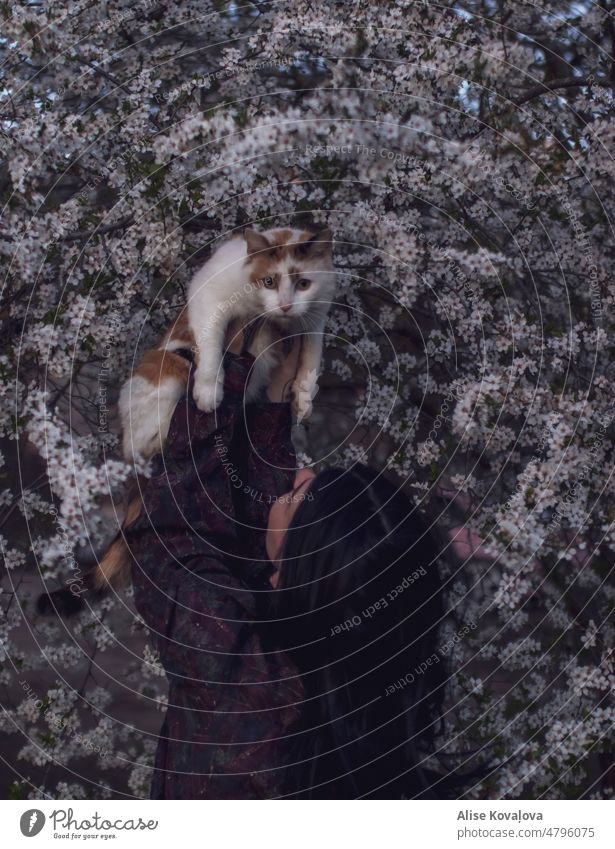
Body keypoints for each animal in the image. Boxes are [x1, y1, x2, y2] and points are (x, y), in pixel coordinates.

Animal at [95, 229, 336, 592]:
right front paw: (210, 392)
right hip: (170, 367)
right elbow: (210, 348)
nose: (285, 305)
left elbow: (312, 354)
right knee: (145, 444)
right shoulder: (208, 296)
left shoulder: (314, 317)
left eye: (304, 284)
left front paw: (304, 397)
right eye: (268, 281)